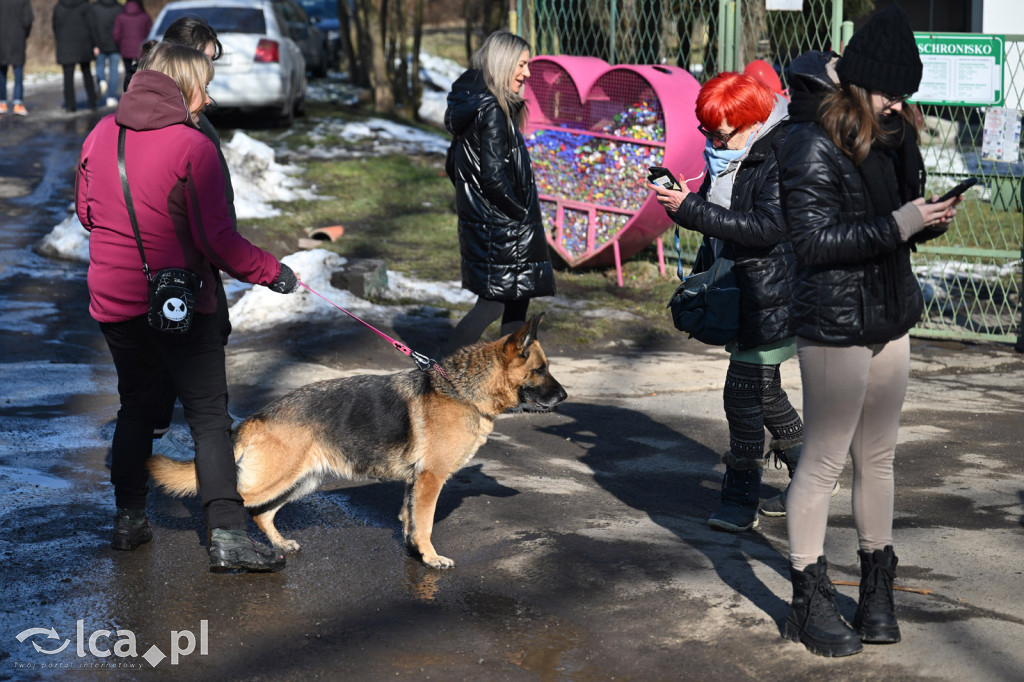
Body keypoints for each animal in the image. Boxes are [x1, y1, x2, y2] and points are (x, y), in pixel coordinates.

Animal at [149, 313, 569, 569]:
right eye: (541, 370)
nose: (565, 396)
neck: (461, 391)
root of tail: (258, 416)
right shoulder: (430, 480)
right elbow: (425, 524)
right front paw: (432, 559)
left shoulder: (415, 483)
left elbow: (409, 520)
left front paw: (415, 553)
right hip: (275, 480)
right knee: (228, 502)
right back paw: (225, 550)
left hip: (301, 481)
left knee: (262, 514)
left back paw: (278, 545)